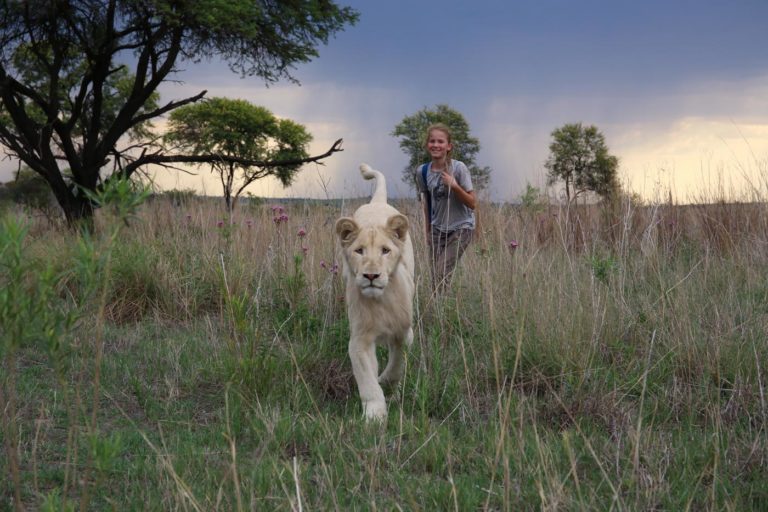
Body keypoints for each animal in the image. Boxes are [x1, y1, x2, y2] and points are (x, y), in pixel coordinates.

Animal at [336, 163, 416, 420]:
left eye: (385, 250)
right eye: (359, 251)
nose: (371, 276)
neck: (380, 301)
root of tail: (377, 202)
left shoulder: (403, 333)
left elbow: (397, 364)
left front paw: (388, 383)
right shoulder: (359, 339)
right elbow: (367, 380)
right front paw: (374, 415)